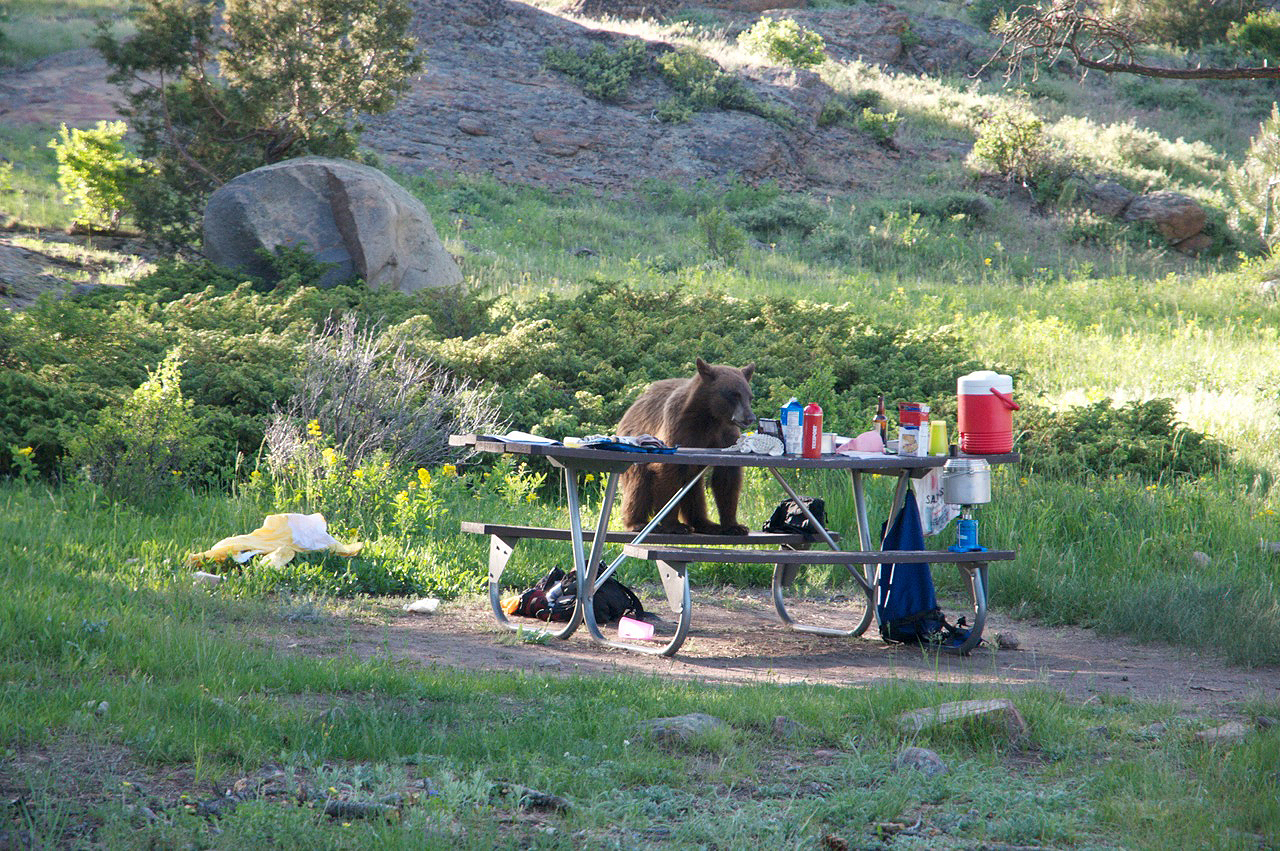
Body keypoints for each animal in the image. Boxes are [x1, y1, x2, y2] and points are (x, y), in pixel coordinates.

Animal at [616, 355, 752, 532]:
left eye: (749, 396)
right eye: (734, 394)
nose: (749, 418)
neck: (709, 417)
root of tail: (631, 408)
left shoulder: (725, 435)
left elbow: (727, 478)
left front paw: (734, 526)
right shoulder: (680, 428)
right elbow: (668, 473)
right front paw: (674, 525)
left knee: (695, 490)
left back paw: (705, 523)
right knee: (638, 485)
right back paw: (637, 522)